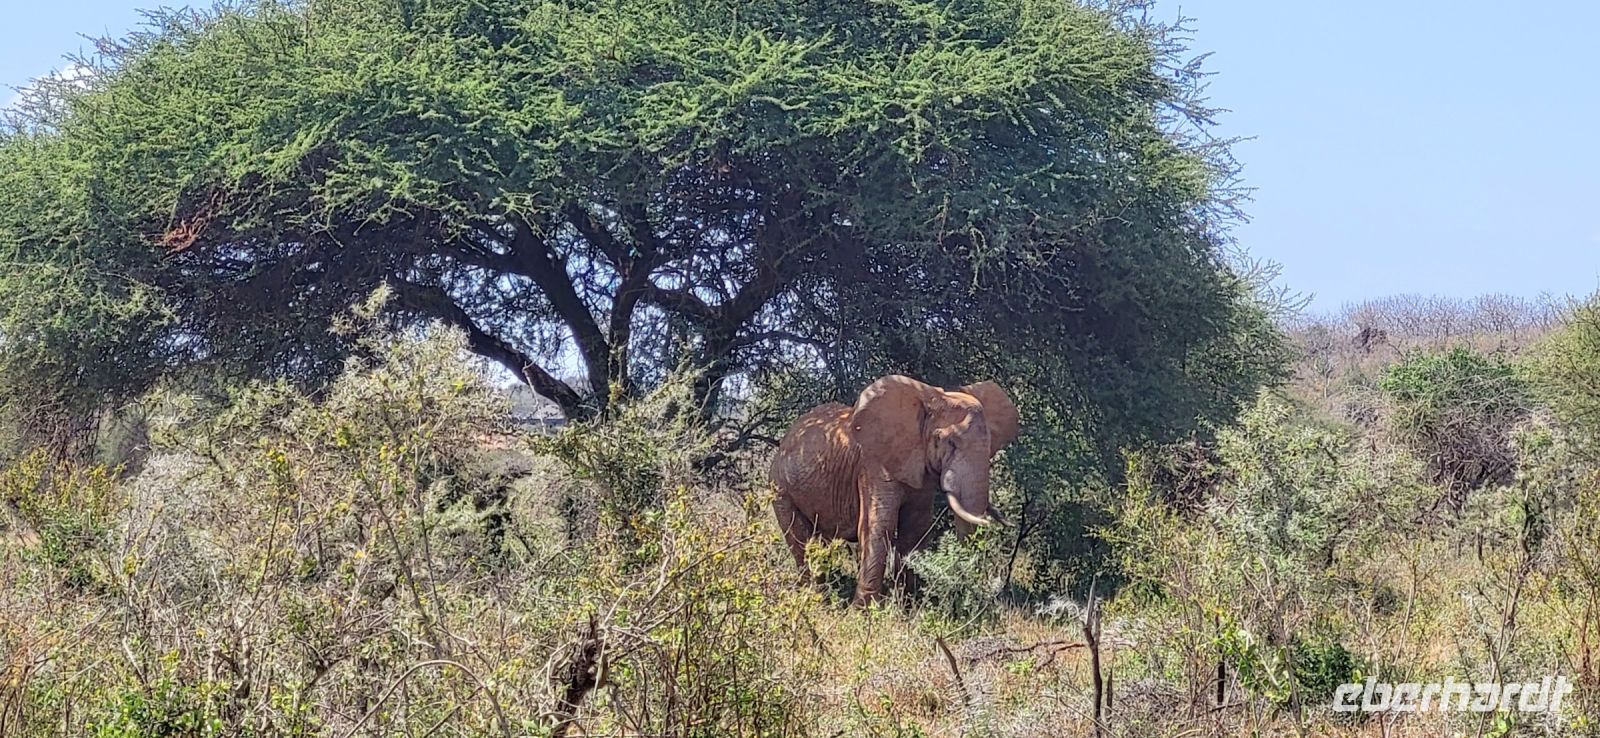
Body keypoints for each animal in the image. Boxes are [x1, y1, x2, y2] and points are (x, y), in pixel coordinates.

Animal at [768, 375, 1019, 605]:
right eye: (946, 441)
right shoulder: (874, 464)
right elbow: (880, 525)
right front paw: (864, 612)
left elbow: (914, 529)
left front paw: (908, 606)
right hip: (780, 487)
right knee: (801, 540)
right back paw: (815, 598)